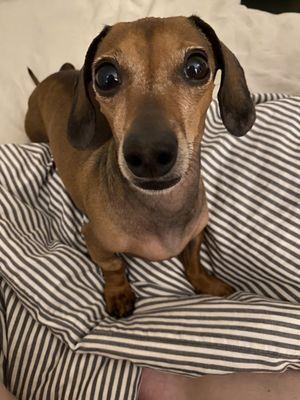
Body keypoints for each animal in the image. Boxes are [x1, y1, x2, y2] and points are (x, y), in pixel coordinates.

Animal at [25, 16, 255, 318]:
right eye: (106, 77)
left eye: (197, 67)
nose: (149, 154)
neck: (162, 207)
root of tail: (47, 79)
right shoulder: (93, 239)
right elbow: (113, 266)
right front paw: (119, 293)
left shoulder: (196, 234)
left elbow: (194, 262)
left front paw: (209, 284)